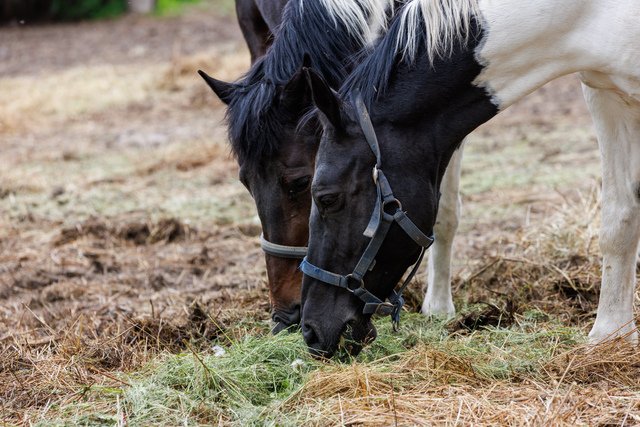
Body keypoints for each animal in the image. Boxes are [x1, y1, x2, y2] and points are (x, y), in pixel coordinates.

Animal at [302, 0, 640, 358]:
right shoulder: (605, 96)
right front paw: (611, 336)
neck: (590, 12)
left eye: (327, 198)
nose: (309, 331)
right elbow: (618, 222)